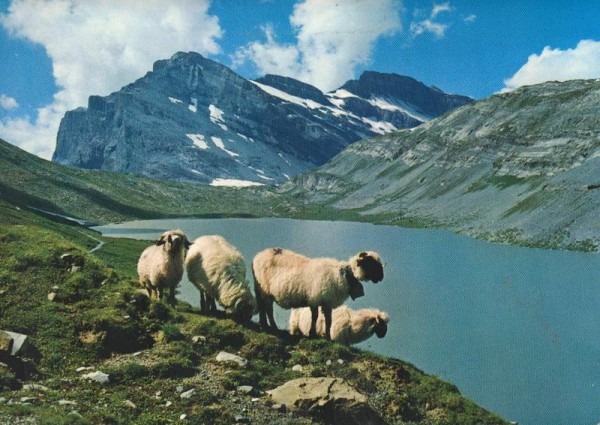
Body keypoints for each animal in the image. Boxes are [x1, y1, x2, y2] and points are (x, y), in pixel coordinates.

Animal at [250, 247, 382, 340]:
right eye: (370, 262)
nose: (381, 277)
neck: (343, 275)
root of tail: (257, 256)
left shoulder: (327, 302)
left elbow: (329, 320)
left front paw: (327, 336)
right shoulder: (315, 298)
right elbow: (315, 316)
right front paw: (312, 333)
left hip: (259, 288)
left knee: (262, 306)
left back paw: (264, 325)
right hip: (265, 289)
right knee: (268, 308)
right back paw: (273, 327)